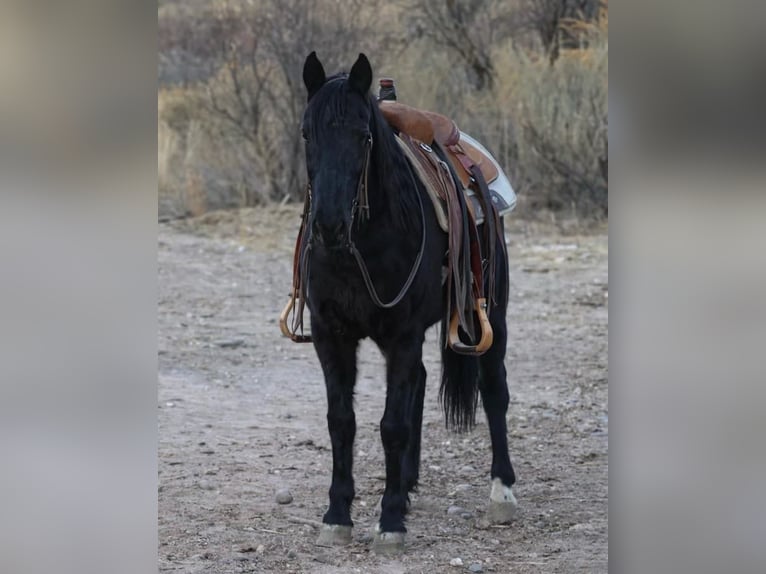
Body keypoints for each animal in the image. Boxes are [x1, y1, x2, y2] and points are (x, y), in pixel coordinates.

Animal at [297, 51, 518, 553]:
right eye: (306, 134)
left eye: (363, 136)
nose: (329, 225)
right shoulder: (329, 334)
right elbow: (341, 420)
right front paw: (338, 514)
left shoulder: (401, 334)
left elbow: (391, 425)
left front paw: (391, 520)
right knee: (419, 382)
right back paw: (410, 481)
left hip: (491, 316)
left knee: (493, 390)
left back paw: (502, 492)